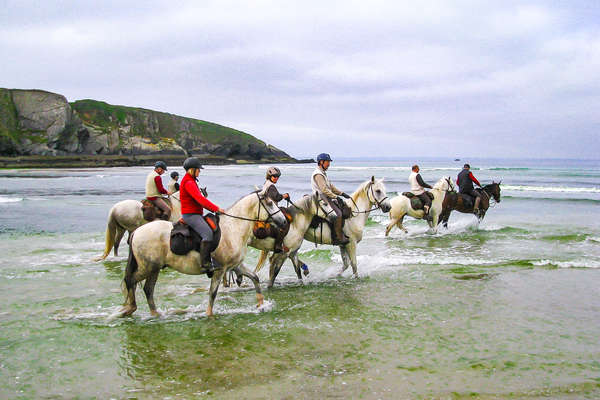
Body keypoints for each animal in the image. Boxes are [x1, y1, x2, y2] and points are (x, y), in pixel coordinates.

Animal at [117, 191, 288, 318]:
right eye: (270, 203)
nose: (284, 221)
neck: (233, 227)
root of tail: (137, 231)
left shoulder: (235, 266)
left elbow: (255, 278)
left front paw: (261, 304)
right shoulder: (220, 269)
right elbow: (212, 293)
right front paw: (209, 314)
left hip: (154, 269)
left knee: (148, 289)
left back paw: (155, 314)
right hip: (147, 267)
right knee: (130, 280)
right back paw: (131, 308)